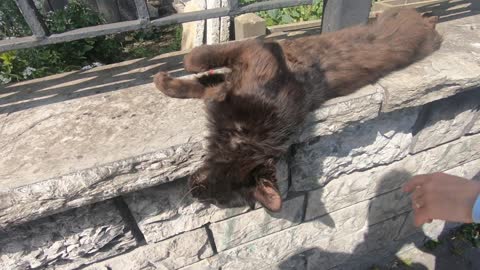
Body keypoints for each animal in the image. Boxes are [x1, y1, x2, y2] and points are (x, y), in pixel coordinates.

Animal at [154, 8, 442, 212]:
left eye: (217, 199)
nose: (194, 193)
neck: (245, 135)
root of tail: (430, 29)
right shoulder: (255, 55)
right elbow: (200, 70)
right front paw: (167, 82)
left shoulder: (256, 53)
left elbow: (202, 72)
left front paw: (166, 80)